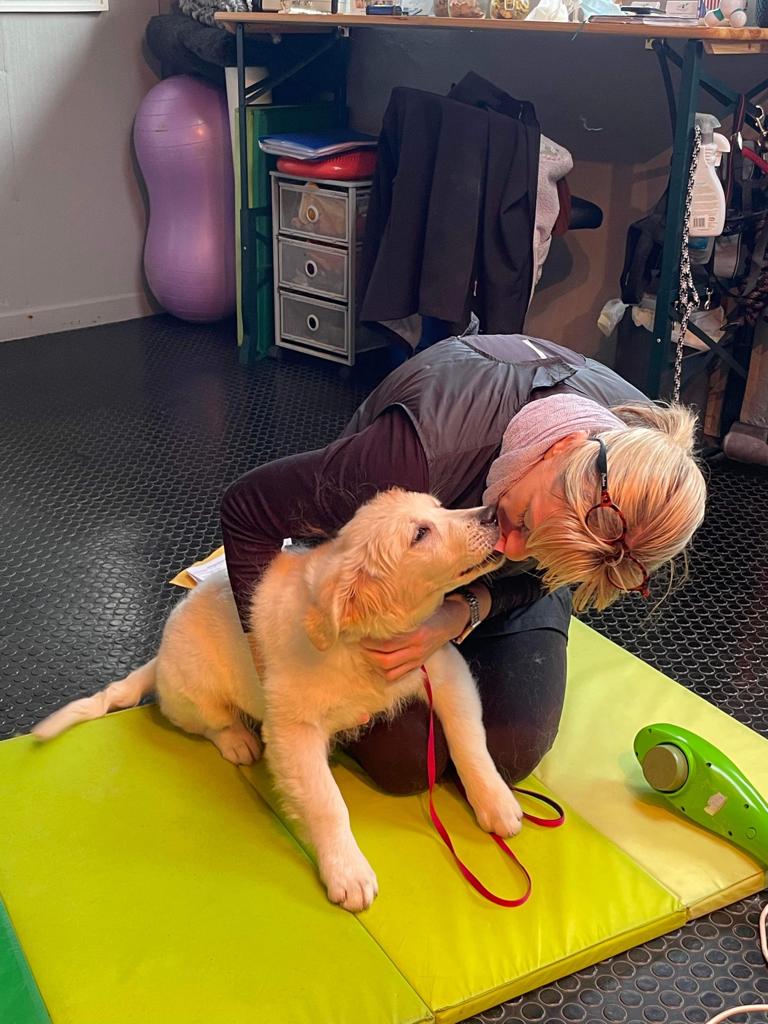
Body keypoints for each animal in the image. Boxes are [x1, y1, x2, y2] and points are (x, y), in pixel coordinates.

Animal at [34, 489, 524, 912]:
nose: (493, 514)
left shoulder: (442, 667)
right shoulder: (292, 728)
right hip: (198, 686)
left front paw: (496, 803)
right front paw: (348, 872)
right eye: (420, 534)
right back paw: (237, 741)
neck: (361, 638)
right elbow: (327, 802)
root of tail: (158, 657)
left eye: (441, 508)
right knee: (205, 721)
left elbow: (470, 742)